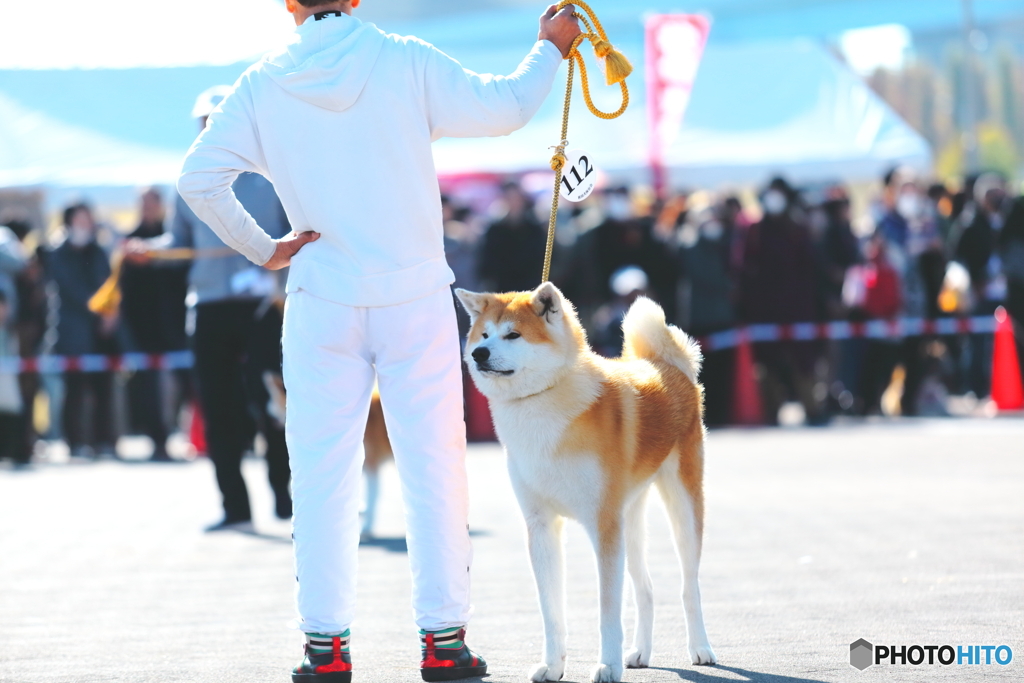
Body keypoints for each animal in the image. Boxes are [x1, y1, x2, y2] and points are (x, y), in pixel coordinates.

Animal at [460, 282, 716, 683]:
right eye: (484, 335)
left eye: (513, 335)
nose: (478, 353)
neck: (542, 404)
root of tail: (665, 364)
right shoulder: (541, 527)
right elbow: (551, 612)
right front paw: (553, 665)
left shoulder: (604, 525)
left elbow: (608, 609)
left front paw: (607, 666)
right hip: (631, 520)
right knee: (645, 589)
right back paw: (640, 652)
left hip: (683, 509)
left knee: (690, 586)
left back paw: (700, 648)